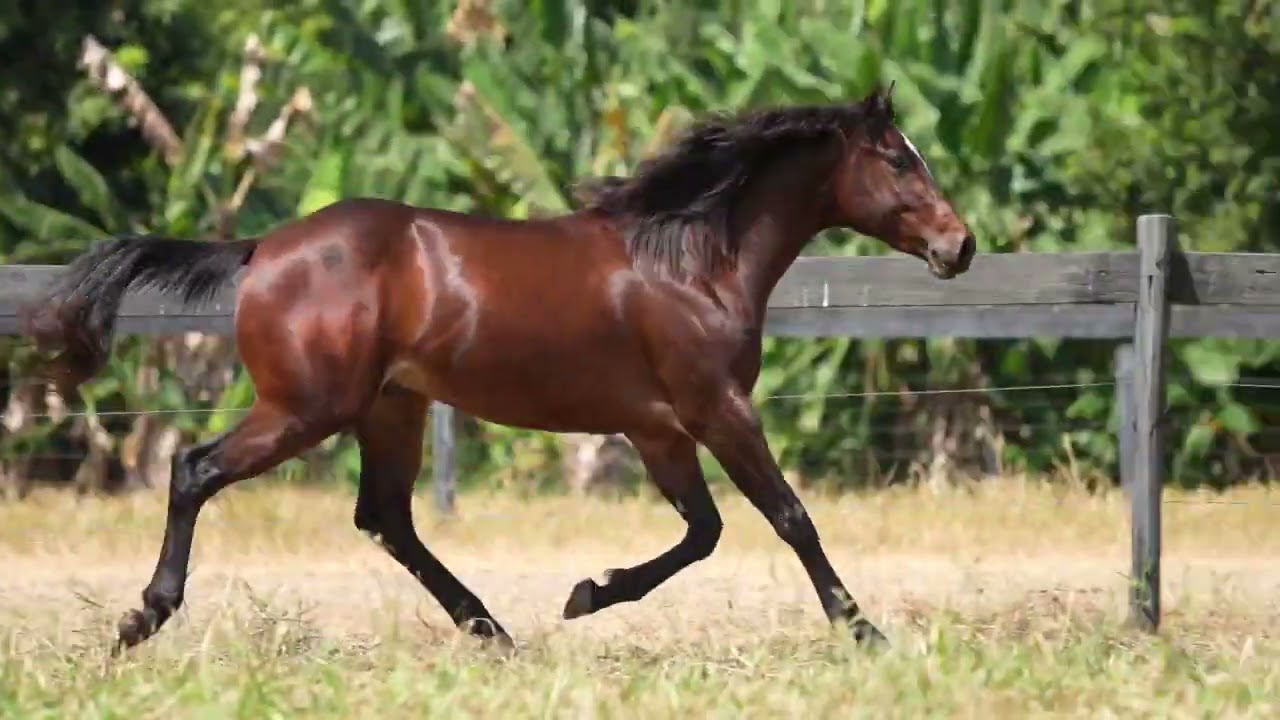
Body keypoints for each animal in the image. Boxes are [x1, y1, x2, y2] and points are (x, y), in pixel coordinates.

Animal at [20, 83, 972, 650]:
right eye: (899, 159)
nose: (959, 247)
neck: (691, 259)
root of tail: (260, 250)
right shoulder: (717, 408)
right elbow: (788, 517)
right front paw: (866, 633)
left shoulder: (658, 429)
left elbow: (703, 532)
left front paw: (588, 593)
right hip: (305, 407)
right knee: (195, 468)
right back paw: (144, 615)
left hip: (390, 409)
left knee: (386, 519)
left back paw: (492, 629)